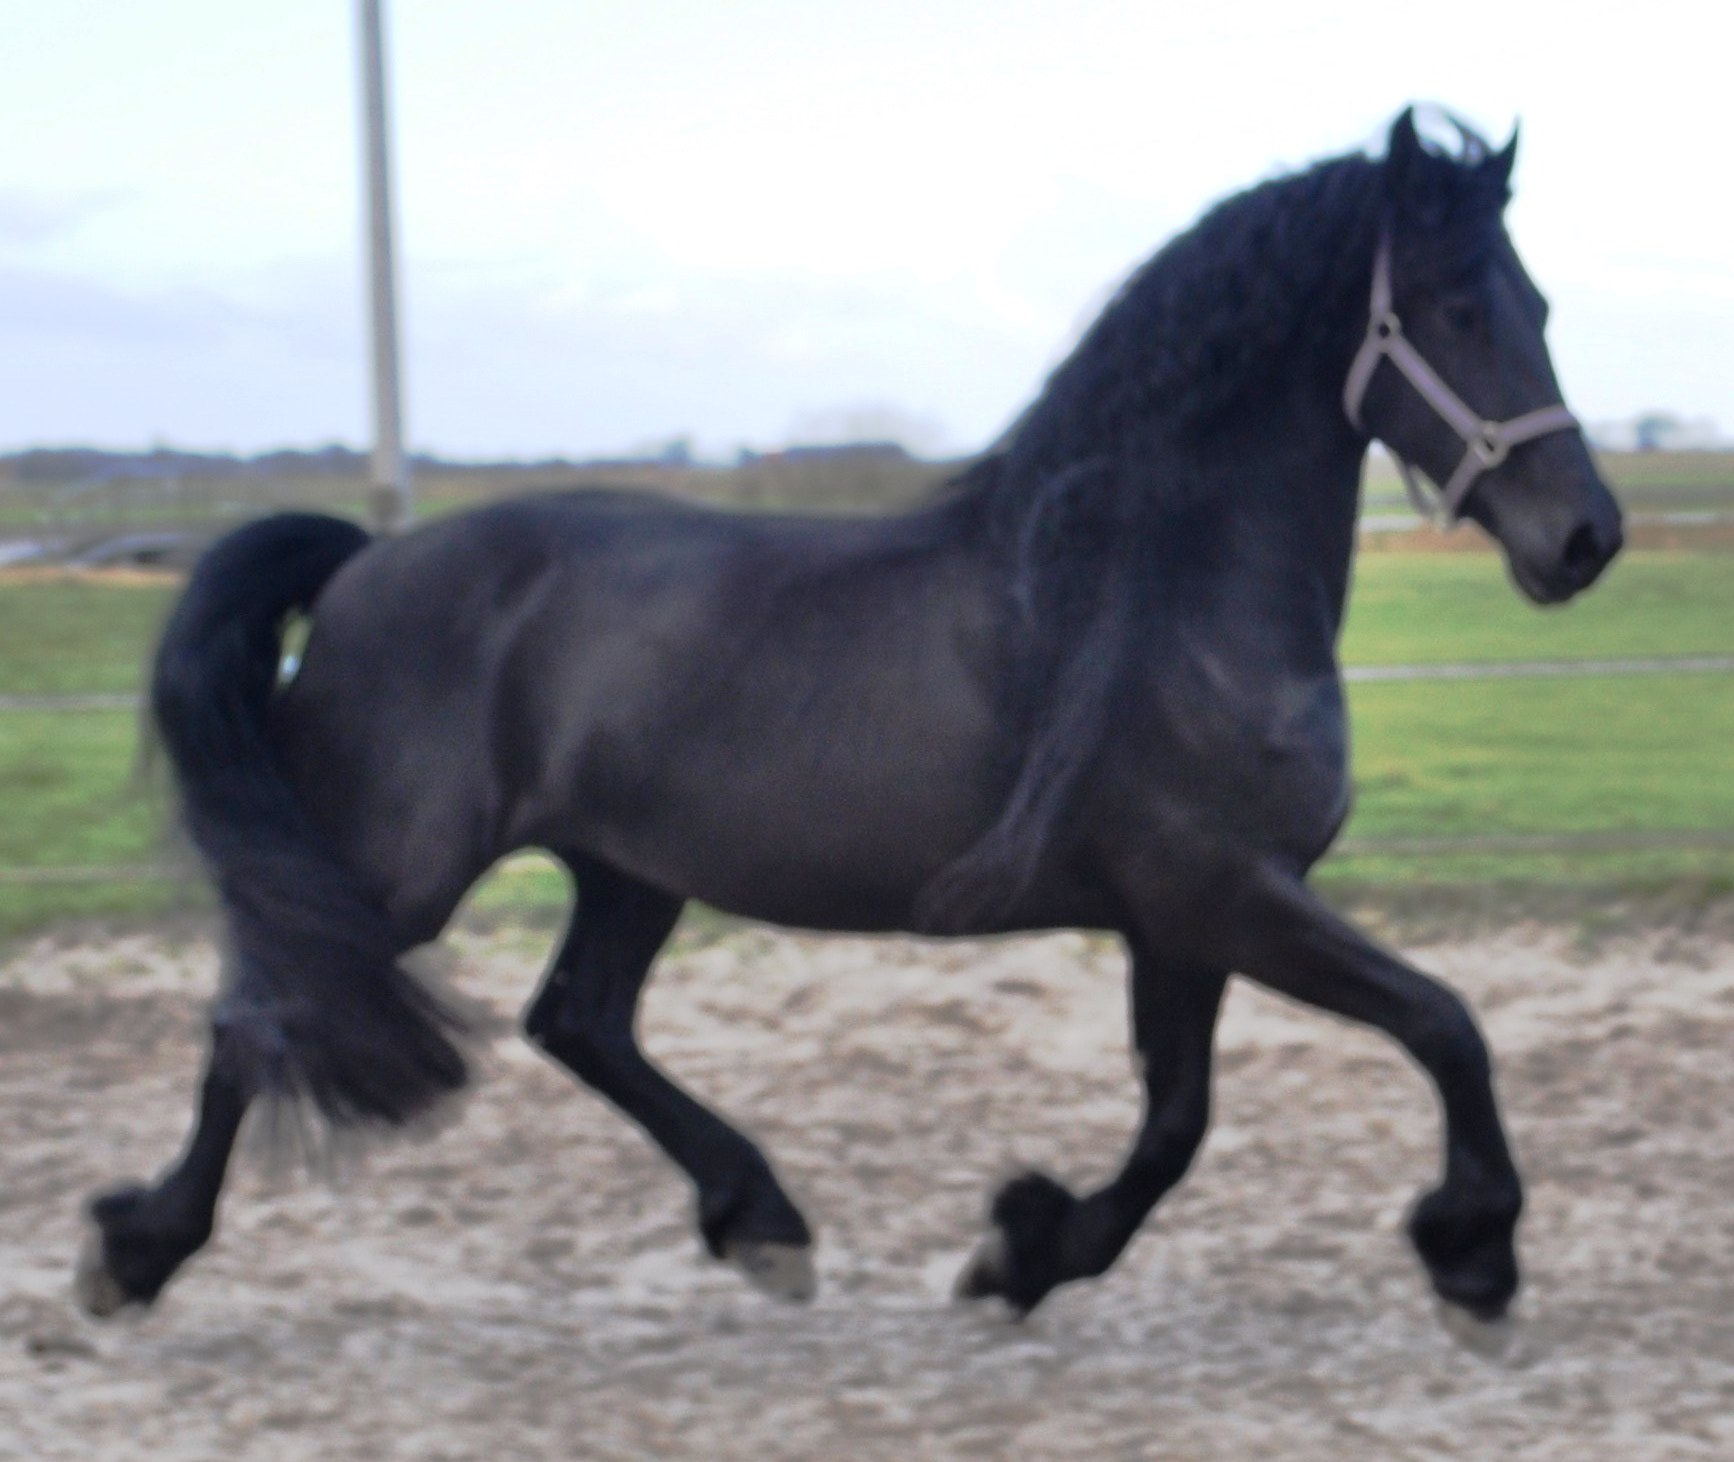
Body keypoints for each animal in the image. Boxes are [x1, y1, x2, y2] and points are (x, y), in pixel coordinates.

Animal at [76, 108, 1623, 1331]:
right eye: (1455, 306)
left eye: (1542, 304)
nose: (1585, 538)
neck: (1153, 595)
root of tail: (361, 564)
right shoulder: (1222, 893)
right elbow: (1442, 1026)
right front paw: (1474, 1258)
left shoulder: (1183, 918)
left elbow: (1179, 1122)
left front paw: (1023, 1250)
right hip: (399, 868)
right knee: (269, 1020)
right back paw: (135, 1255)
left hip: (627, 867)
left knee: (576, 1017)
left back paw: (760, 1220)